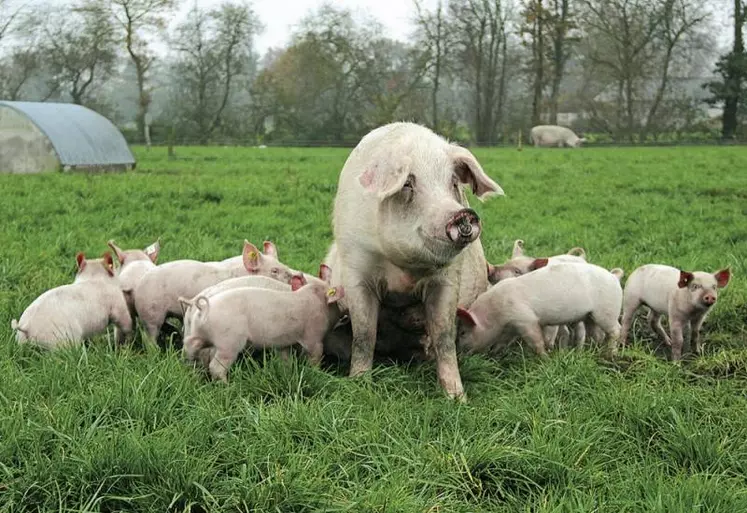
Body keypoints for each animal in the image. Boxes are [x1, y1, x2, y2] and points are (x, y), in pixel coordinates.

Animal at [134, 240, 296, 344]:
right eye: (274, 271)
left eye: (283, 265)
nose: (296, 275)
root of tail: (138, 286)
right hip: (151, 313)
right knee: (149, 337)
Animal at [183, 264, 346, 380]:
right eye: (336, 302)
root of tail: (204, 308)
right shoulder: (314, 337)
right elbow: (315, 357)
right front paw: (318, 372)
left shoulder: (284, 342)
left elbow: (285, 360)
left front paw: (287, 372)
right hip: (228, 342)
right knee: (216, 367)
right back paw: (227, 386)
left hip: (200, 334)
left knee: (190, 345)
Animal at [326, 121, 502, 400]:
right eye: (408, 184)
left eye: (454, 183)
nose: (462, 214)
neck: (405, 271)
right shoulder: (357, 267)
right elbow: (364, 336)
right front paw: (359, 386)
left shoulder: (448, 278)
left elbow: (444, 337)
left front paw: (457, 398)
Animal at [456, 260, 624, 356]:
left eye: (463, 332)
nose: (459, 352)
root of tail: (614, 276)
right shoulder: (511, 326)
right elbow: (503, 341)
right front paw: (496, 353)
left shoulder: (525, 318)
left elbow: (536, 341)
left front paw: (545, 358)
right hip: (590, 316)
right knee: (596, 333)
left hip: (607, 311)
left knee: (616, 329)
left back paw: (611, 354)